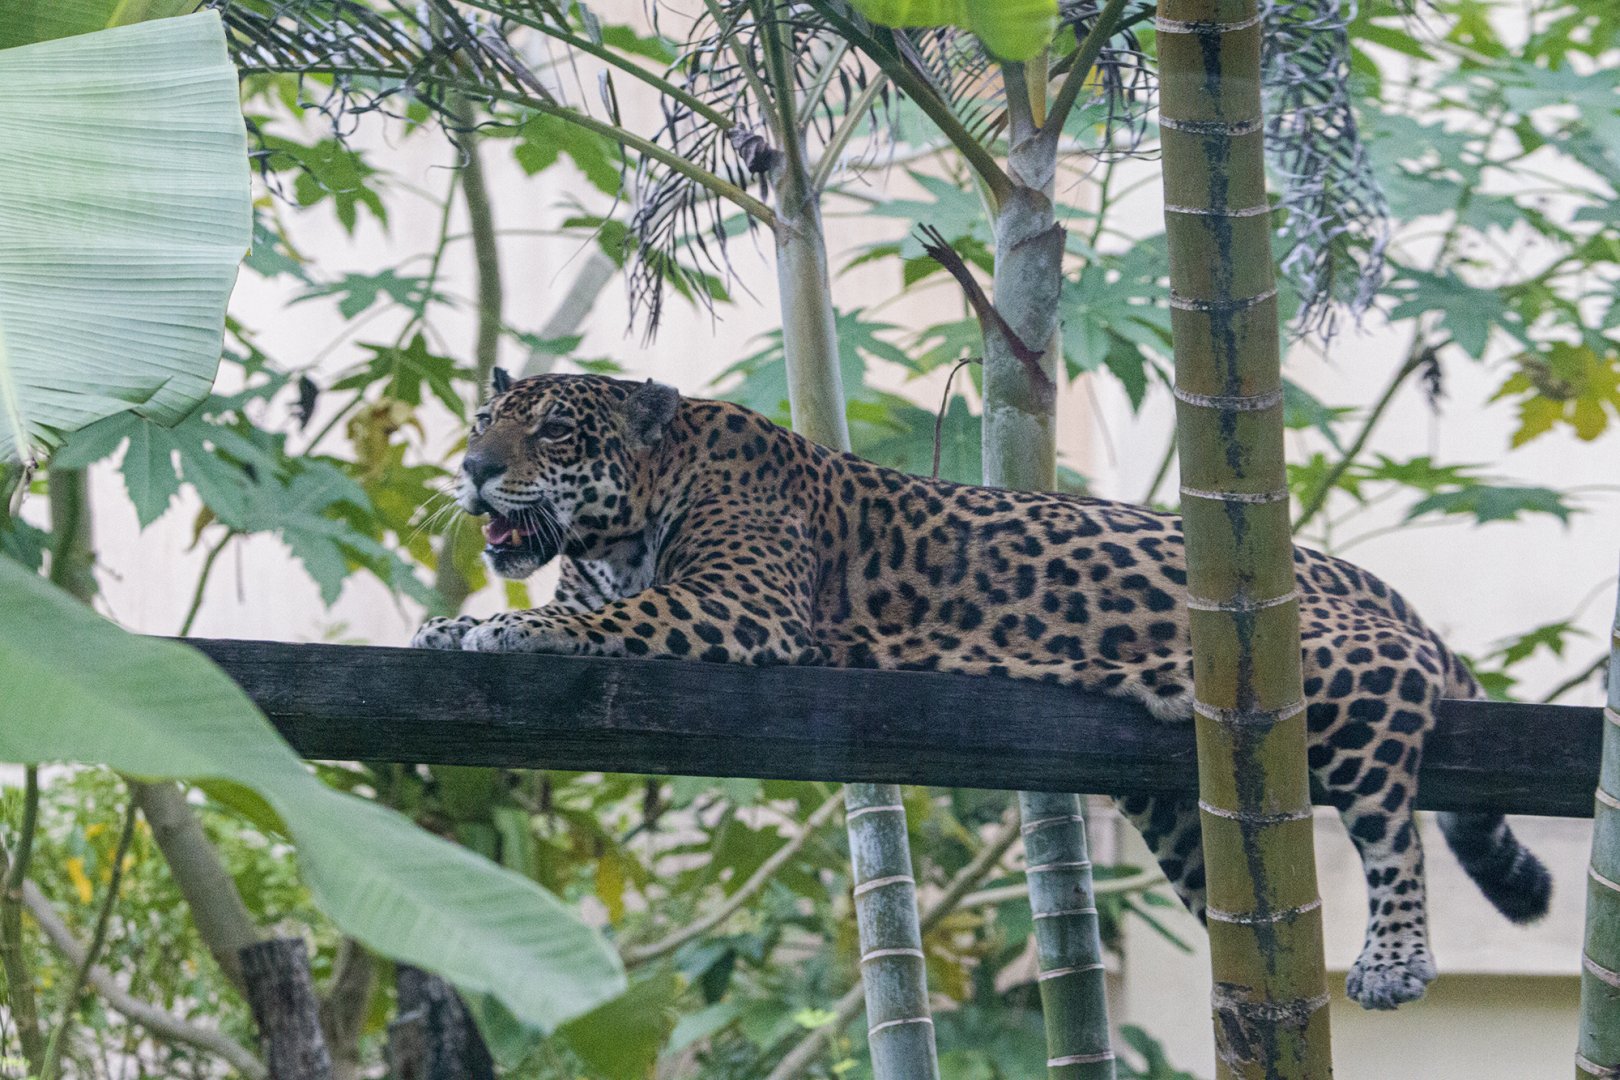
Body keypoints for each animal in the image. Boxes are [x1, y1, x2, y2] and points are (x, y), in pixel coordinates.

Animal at [412, 370, 1551, 1011]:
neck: (607, 538)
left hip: (1333, 671)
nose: (471, 470)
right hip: (1186, 807)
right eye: (481, 419)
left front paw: (506, 627)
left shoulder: (740, 601)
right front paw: (444, 622)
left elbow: (606, 622)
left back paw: (1394, 959)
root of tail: (1377, 587)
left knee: (1393, 828)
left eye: (554, 433)